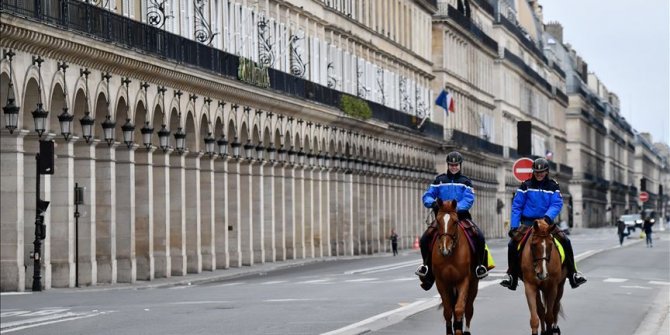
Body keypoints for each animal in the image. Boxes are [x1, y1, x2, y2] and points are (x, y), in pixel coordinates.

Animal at [434, 200, 480, 335]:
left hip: (473, 285)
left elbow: (459, 309)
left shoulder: (463, 280)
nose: (445, 249)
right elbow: (448, 311)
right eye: (438, 220)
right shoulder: (441, 283)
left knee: (469, 309)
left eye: (455, 221)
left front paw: (459, 330)